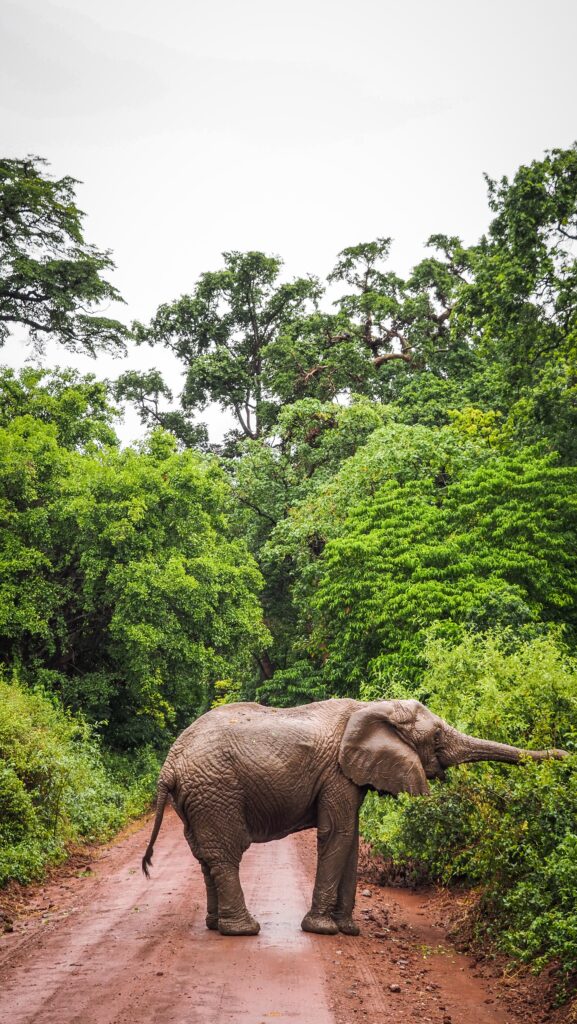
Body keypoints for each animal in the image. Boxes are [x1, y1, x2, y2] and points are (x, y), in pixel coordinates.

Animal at [142, 704, 565, 937]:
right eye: (437, 737)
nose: (563, 754)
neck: (374, 707)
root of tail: (169, 765)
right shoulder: (337, 773)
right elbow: (339, 834)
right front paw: (324, 930)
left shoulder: (350, 775)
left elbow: (352, 836)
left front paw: (349, 930)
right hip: (217, 790)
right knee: (226, 854)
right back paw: (244, 931)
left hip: (200, 797)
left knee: (205, 856)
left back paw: (216, 925)